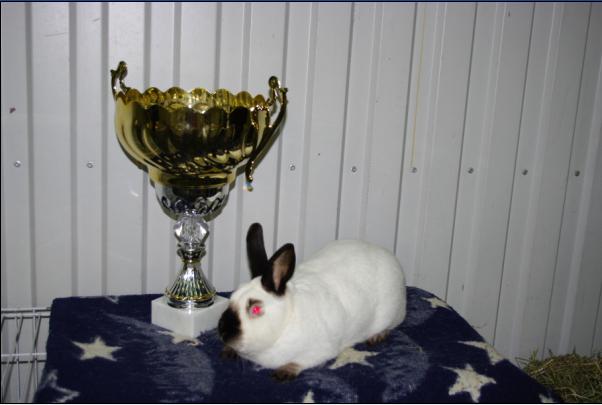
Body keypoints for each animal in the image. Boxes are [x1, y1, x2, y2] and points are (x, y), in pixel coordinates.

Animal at [217, 223, 406, 381]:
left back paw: (377, 336)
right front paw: (228, 351)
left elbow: (300, 362)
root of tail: (387, 254)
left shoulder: (319, 351)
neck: (285, 322)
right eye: (232, 296)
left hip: (392, 314)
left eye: (255, 309)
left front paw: (284, 372)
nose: (222, 331)